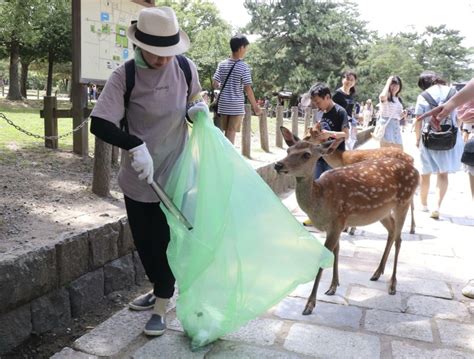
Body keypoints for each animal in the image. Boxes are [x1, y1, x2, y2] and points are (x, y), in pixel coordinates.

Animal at [274, 129, 418, 316]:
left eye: (306, 154)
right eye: (288, 150)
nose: (278, 165)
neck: (321, 200)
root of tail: (416, 170)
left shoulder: (337, 221)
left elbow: (325, 257)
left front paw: (309, 305)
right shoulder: (335, 225)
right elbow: (337, 251)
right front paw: (333, 287)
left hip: (404, 201)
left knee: (399, 239)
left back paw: (392, 285)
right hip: (382, 212)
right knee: (392, 231)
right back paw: (377, 273)